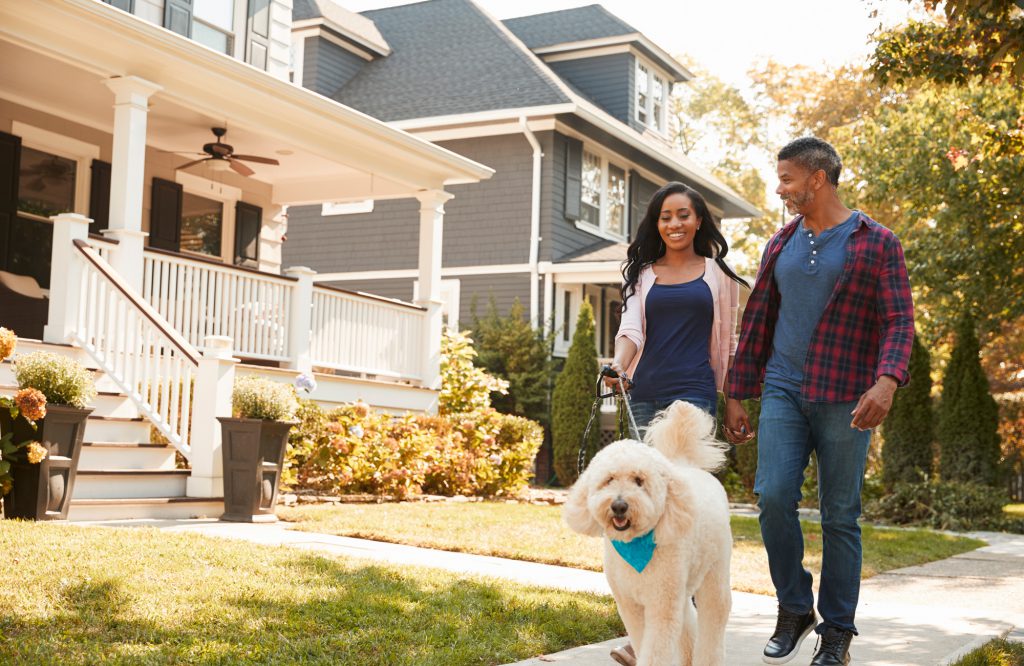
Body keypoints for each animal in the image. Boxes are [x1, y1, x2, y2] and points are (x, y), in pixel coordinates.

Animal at [565, 399, 733, 663]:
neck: (634, 546)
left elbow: (655, 651)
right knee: (688, 621)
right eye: (609, 479)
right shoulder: (630, 605)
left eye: (639, 480)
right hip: (681, 588)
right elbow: (641, 640)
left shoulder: (661, 606)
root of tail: (685, 465)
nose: (619, 505)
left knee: (713, 620)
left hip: (714, 574)